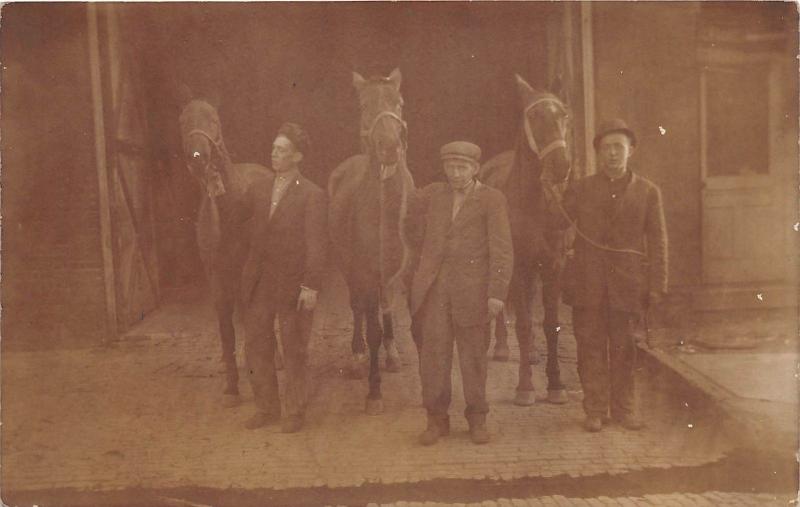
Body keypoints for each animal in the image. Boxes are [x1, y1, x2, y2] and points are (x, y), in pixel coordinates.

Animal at [178, 95, 272, 408]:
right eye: (183, 121)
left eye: (214, 120)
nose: (198, 157)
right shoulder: (217, 279)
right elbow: (226, 331)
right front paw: (232, 386)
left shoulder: (248, 272)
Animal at [328, 68, 416, 416]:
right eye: (365, 105)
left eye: (399, 103)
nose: (389, 146)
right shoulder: (363, 271)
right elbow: (372, 326)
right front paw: (374, 392)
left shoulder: (405, 272)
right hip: (350, 268)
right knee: (359, 309)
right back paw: (357, 356)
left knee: (383, 305)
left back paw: (392, 354)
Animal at [478, 75, 572, 406]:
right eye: (534, 116)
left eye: (564, 115)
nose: (561, 165)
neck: (535, 204)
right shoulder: (519, 266)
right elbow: (521, 323)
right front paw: (525, 387)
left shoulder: (554, 266)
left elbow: (549, 325)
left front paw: (556, 385)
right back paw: (503, 349)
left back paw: (530, 353)